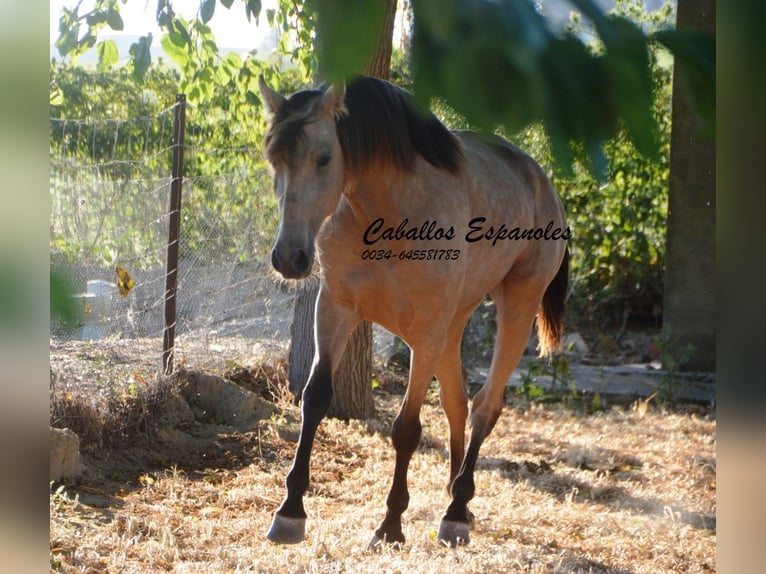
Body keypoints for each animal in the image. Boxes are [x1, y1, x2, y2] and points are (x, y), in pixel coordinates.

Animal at [258, 76, 568, 548]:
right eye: (274, 157)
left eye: (324, 157)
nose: (290, 258)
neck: (390, 215)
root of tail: (543, 185)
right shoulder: (335, 309)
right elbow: (315, 399)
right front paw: (291, 511)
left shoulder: (425, 334)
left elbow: (406, 427)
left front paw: (390, 524)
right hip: (454, 325)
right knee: (458, 402)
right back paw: (459, 496)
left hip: (516, 306)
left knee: (485, 405)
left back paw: (456, 513)